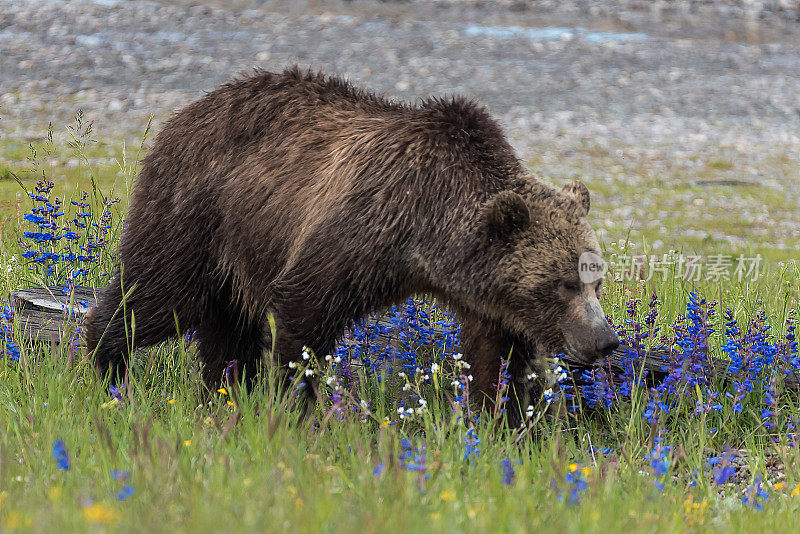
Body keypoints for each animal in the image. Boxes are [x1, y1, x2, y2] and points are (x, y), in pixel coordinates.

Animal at [84, 67, 616, 418]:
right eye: (564, 283)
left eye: (596, 282)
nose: (605, 340)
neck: (429, 236)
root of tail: (186, 111)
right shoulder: (361, 227)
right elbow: (303, 316)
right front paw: (297, 407)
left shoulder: (484, 293)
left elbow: (497, 356)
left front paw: (501, 419)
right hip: (196, 212)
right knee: (158, 294)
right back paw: (108, 367)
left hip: (237, 245)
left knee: (226, 327)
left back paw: (225, 392)